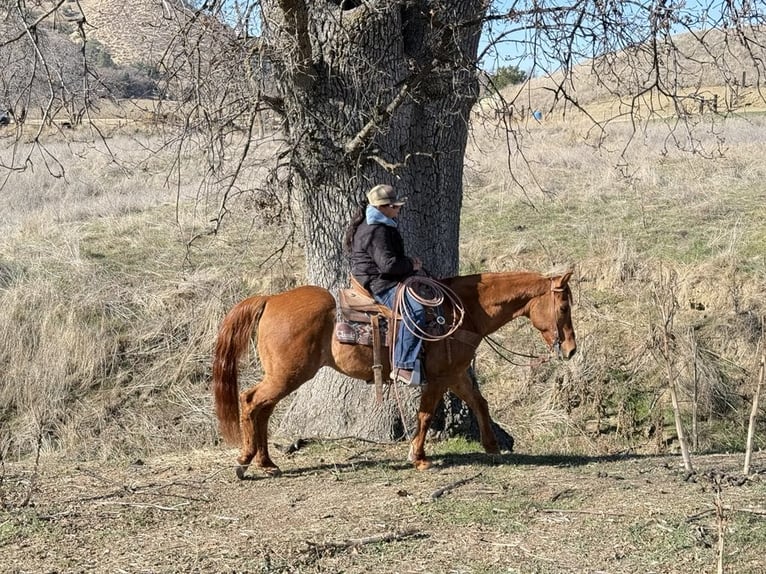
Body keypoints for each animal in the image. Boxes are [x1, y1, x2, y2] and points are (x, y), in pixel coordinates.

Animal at [213, 272, 580, 480]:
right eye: (564, 307)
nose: (571, 349)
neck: (461, 312)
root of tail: (271, 300)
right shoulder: (439, 377)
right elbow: (426, 414)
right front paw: (418, 457)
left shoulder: (456, 374)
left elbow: (480, 402)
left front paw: (491, 446)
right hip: (288, 375)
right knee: (251, 401)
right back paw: (245, 460)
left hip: (284, 376)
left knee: (262, 409)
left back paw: (266, 462)